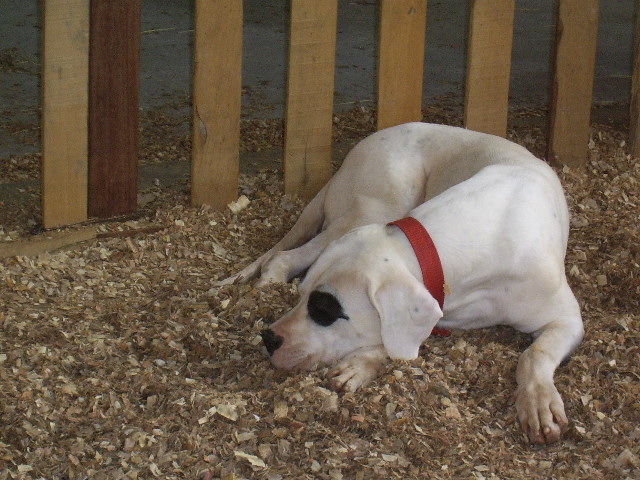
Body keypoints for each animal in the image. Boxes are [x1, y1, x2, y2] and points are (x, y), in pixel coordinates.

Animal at [219, 123, 580, 442]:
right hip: (377, 205)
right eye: (302, 297)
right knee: (282, 257)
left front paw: (538, 402)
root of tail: (351, 156)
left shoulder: (567, 320)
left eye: (325, 310)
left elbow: (534, 354)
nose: (269, 339)